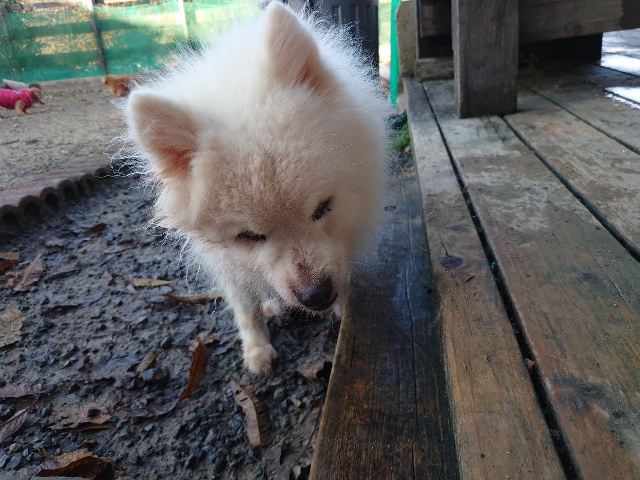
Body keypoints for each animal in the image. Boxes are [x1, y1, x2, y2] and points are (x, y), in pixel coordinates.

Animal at [125, 2, 388, 374]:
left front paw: (343, 307)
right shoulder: (225, 259)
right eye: (249, 236)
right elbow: (245, 306)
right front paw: (256, 348)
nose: (316, 295)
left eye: (323, 208)